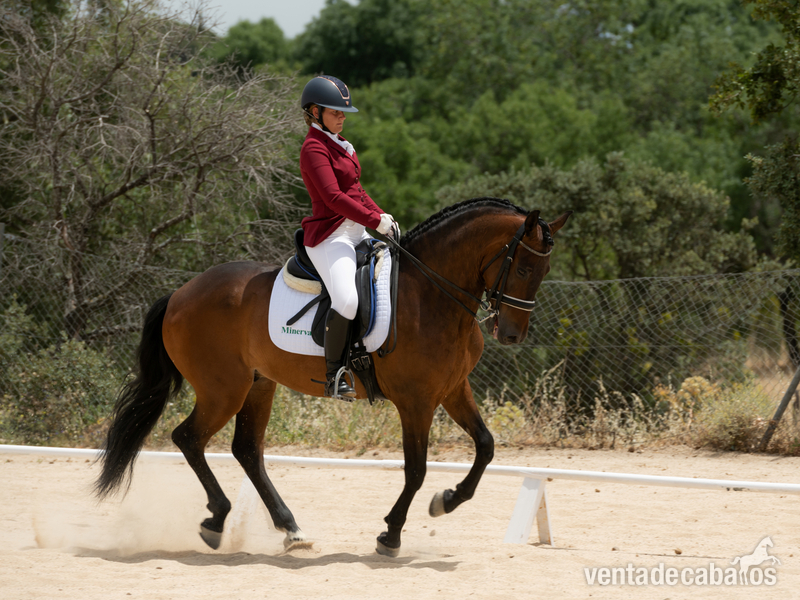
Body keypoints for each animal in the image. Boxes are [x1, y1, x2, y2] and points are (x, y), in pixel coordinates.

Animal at [95, 197, 571, 557]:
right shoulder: (416, 401)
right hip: (222, 389)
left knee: (246, 450)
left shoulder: (452, 390)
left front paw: (447, 501)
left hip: (258, 384)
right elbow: (416, 469)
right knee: (189, 439)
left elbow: (485, 446)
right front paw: (390, 535)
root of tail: (180, 293)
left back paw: (291, 530)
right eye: (523, 268)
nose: (511, 334)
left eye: (545, 272)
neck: (431, 295)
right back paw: (217, 518)